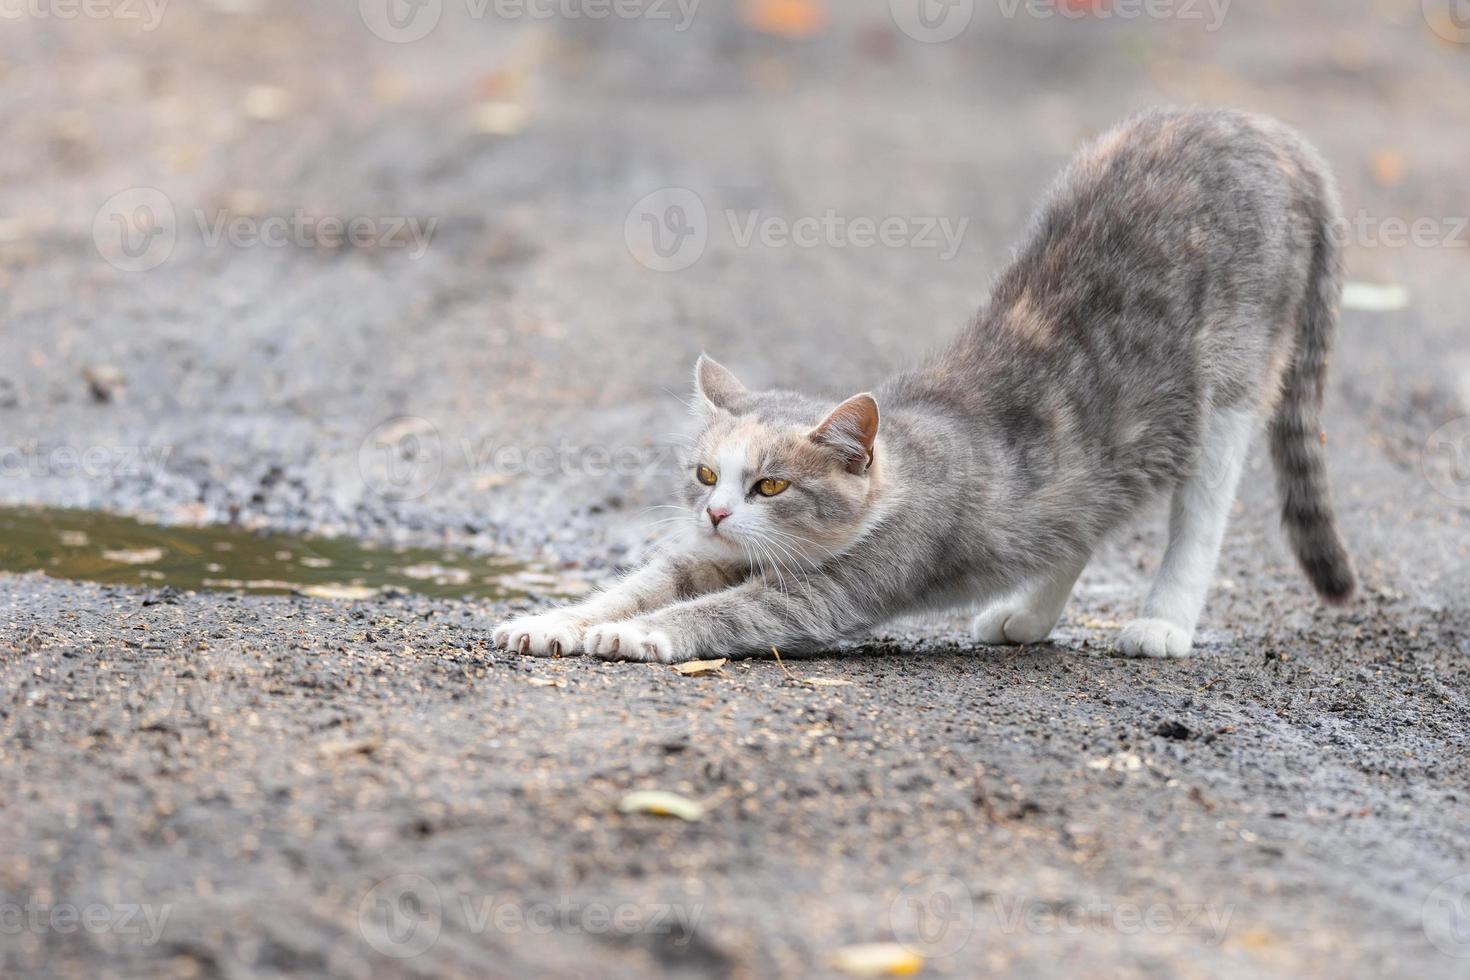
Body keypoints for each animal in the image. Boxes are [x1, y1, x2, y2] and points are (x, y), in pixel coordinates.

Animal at [493, 103, 1352, 664]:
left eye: (770, 486)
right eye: (706, 475)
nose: (714, 512)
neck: (899, 474)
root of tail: (1260, 127)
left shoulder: (834, 588)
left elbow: (729, 610)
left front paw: (638, 634)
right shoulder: (704, 556)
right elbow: (649, 580)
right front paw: (562, 618)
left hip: (1230, 383)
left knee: (1202, 509)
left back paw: (1164, 622)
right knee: (1083, 513)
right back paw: (1028, 614)